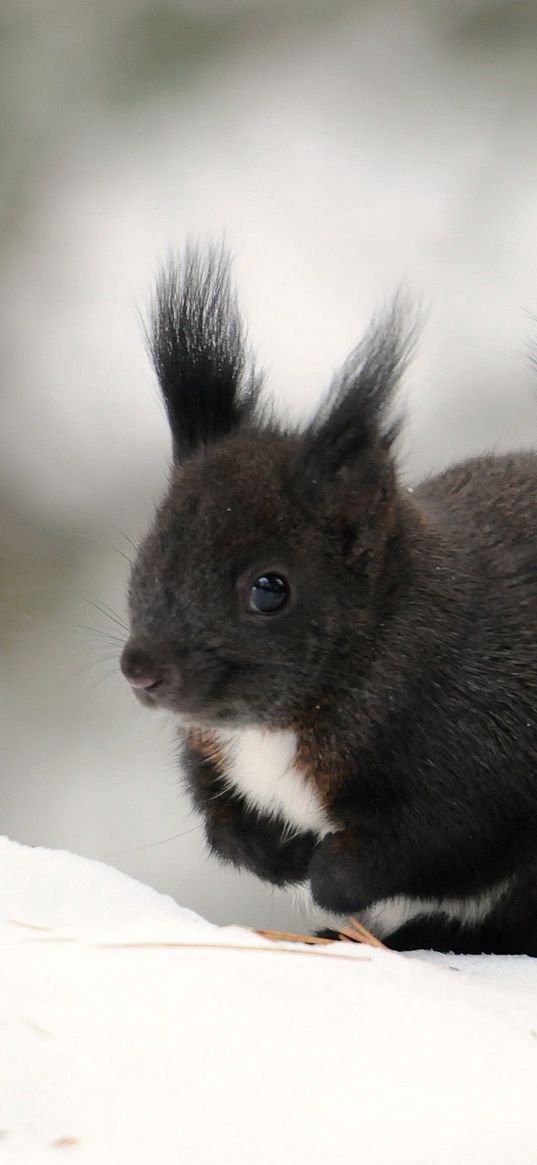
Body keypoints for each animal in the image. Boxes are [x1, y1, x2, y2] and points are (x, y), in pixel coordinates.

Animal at [120, 248, 535, 955]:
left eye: (270, 589)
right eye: (146, 557)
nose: (140, 670)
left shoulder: (482, 751)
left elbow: (428, 845)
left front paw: (325, 874)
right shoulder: (212, 756)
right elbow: (219, 820)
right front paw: (276, 854)